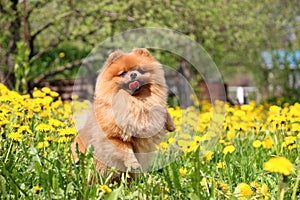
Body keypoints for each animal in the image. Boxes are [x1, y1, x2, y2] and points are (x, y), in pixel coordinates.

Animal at [71, 48, 175, 177]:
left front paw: (171, 125)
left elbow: (162, 109)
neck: (135, 101)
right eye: (123, 73)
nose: (133, 74)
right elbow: (126, 150)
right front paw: (133, 163)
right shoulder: (112, 136)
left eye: (140, 70)